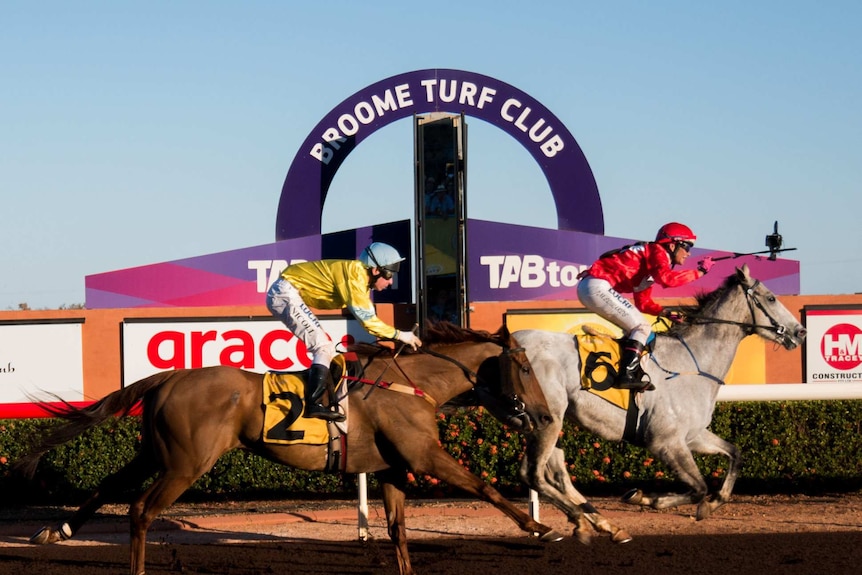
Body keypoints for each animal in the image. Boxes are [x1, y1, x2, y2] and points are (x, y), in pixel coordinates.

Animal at [16, 324, 564, 575]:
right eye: (526, 368)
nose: (543, 416)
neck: (415, 385)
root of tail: (169, 377)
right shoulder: (425, 456)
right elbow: (486, 487)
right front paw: (544, 528)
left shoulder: (391, 467)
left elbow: (398, 531)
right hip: (187, 463)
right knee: (140, 509)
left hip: (156, 452)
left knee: (110, 486)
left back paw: (57, 529)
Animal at [510, 266, 808, 544]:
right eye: (771, 298)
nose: (801, 331)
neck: (692, 361)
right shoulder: (665, 441)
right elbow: (698, 487)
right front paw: (645, 498)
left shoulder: (693, 436)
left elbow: (735, 454)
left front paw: (711, 504)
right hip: (548, 419)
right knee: (533, 473)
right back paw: (578, 523)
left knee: (554, 473)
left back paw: (599, 524)